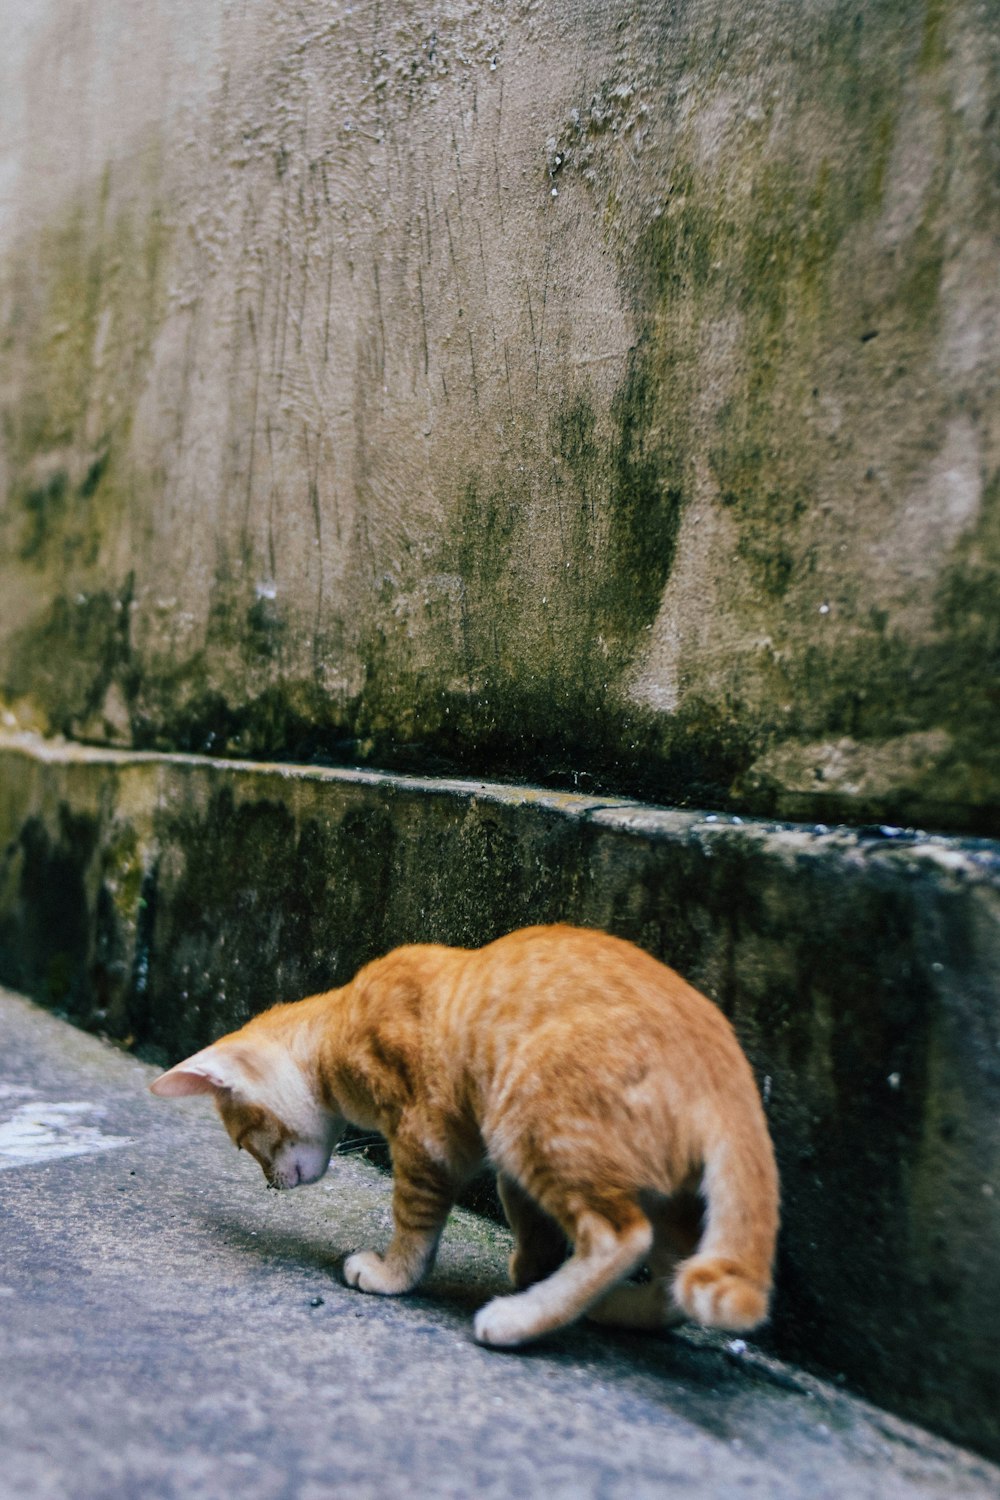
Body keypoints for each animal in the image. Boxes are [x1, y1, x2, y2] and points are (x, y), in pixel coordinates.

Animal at [148, 918, 779, 1344]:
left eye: (243, 1142)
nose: (270, 1185)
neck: (338, 1024)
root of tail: (729, 1073)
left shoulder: (426, 1138)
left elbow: (414, 1221)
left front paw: (393, 1275)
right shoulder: (498, 1161)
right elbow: (528, 1222)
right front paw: (531, 1269)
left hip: (535, 1117)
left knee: (620, 1237)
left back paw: (521, 1320)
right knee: (674, 1276)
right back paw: (611, 1309)